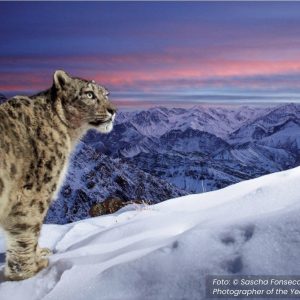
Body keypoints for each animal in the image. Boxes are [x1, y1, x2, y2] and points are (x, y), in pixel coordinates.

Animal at [0, 71, 116, 282]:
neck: (70, 136)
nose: (113, 110)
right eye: (89, 94)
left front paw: (40, 254)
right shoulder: (35, 193)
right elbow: (27, 231)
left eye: (106, 94)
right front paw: (28, 271)